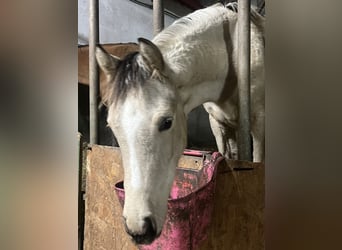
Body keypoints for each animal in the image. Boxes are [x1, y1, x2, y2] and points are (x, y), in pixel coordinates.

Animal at [95, 2, 264, 244]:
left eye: (167, 122)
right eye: (113, 127)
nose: (139, 228)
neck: (231, 55)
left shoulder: (258, 124)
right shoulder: (219, 125)